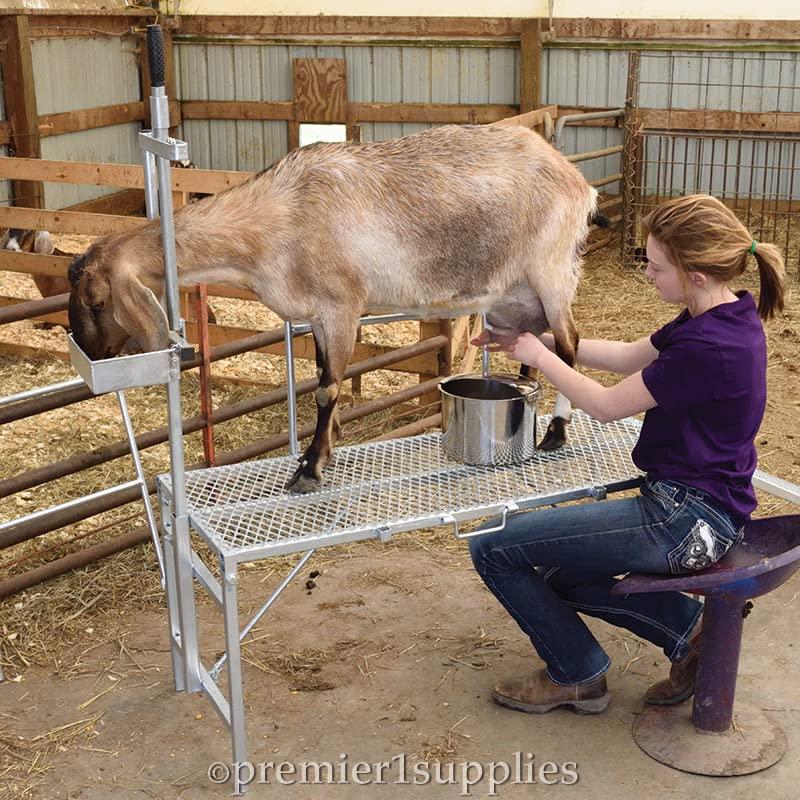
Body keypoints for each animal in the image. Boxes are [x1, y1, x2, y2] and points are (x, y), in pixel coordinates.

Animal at [67, 123, 602, 493]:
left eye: (97, 300)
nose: (95, 355)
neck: (278, 216)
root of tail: (578, 180)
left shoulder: (342, 306)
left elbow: (327, 389)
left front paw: (310, 466)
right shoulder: (317, 316)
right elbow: (322, 378)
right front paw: (326, 446)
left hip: (551, 270)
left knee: (570, 342)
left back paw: (556, 431)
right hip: (516, 295)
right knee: (538, 345)